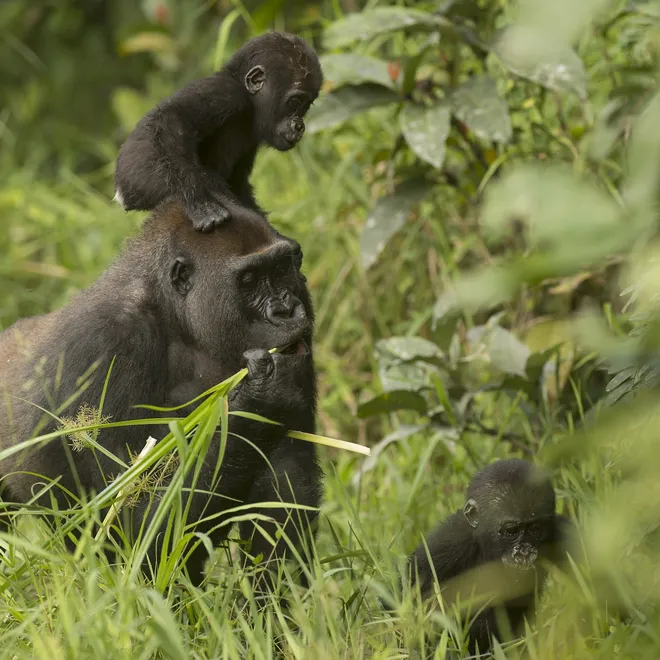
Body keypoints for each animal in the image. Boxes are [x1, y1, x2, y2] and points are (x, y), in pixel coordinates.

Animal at [0, 200, 321, 589]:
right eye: (249, 280)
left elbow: (285, 487)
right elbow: (130, 527)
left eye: (283, 267)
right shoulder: (103, 344)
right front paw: (263, 396)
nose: (286, 311)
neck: (176, 316)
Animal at [114, 32, 323, 232]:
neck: (251, 104)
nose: (299, 126)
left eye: (306, 106)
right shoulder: (226, 94)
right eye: (294, 102)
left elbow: (238, 183)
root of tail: (121, 194)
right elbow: (170, 119)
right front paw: (198, 201)